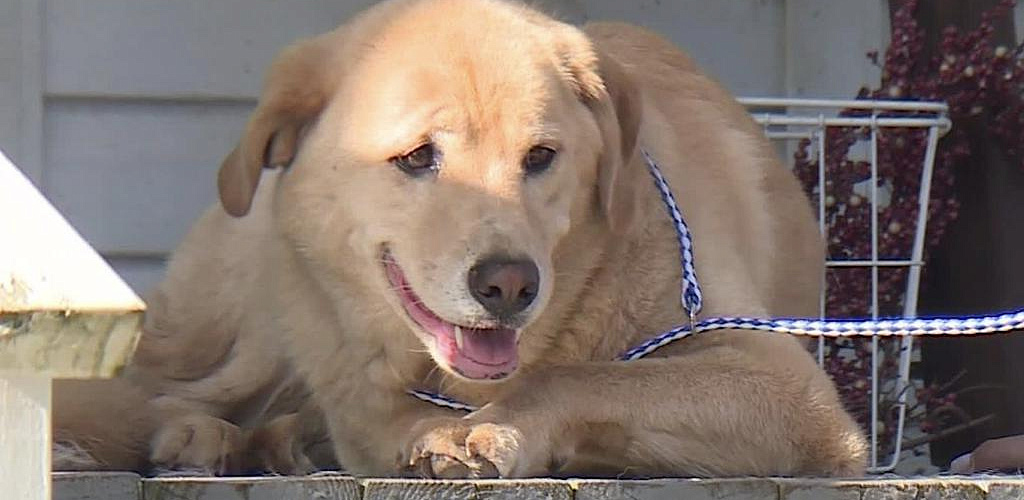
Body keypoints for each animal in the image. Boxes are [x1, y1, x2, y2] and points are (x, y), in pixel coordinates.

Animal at [56, 0, 868, 479]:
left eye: (541, 157)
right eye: (418, 157)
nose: (509, 284)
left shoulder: (783, 385)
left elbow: (586, 378)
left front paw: (490, 428)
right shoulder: (359, 393)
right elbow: (386, 415)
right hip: (239, 323)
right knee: (133, 392)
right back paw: (192, 434)